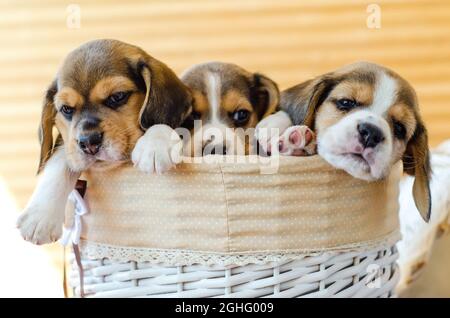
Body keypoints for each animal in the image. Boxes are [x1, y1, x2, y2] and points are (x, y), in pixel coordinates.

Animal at [15, 39, 191, 243]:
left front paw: (154, 146)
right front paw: (40, 216)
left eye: (117, 96)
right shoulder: (68, 146)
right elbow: (60, 161)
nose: (89, 142)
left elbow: (159, 122)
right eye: (66, 109)